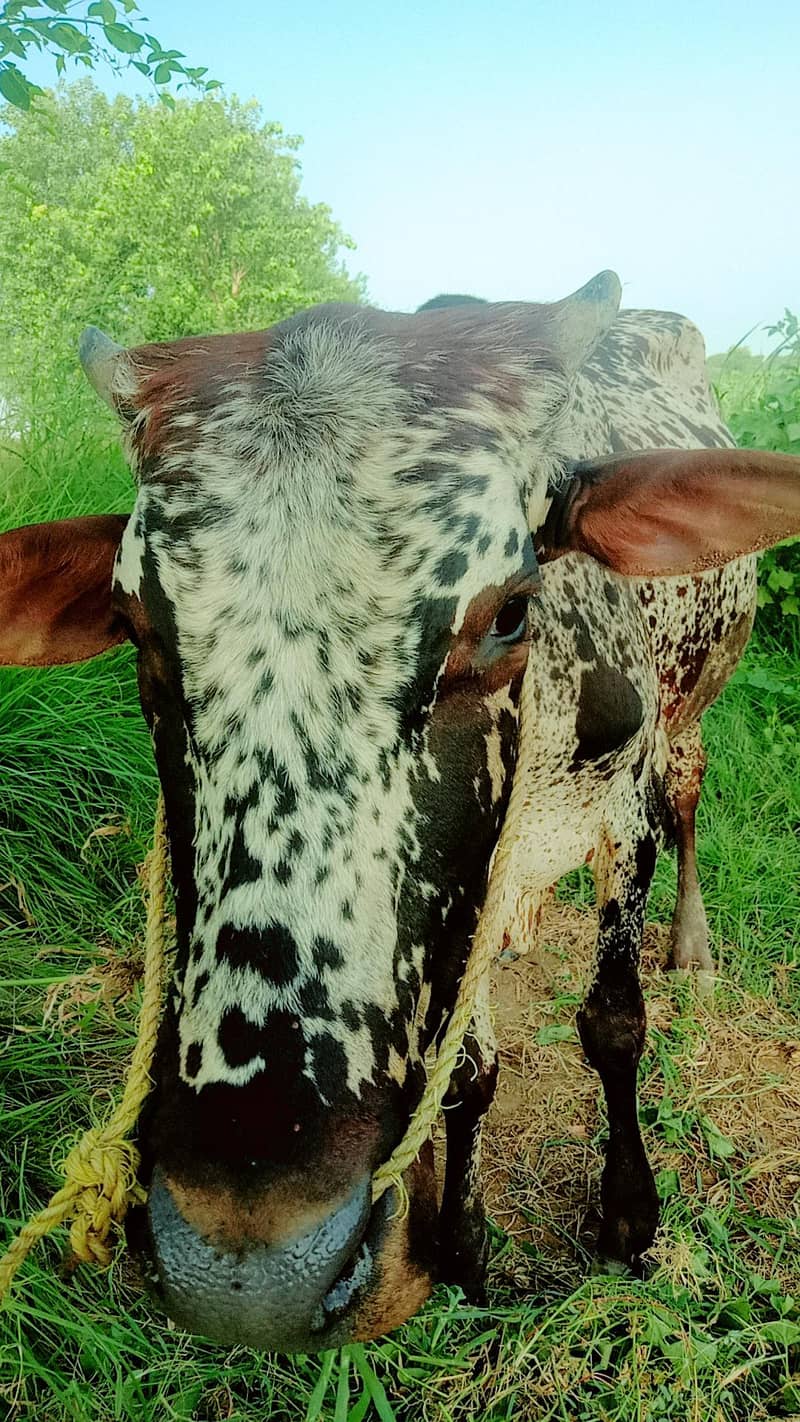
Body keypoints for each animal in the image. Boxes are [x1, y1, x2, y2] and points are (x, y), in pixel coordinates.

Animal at [1, 272, 799, 1353]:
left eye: (509, 609)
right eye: (135, 627)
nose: (249, 1263)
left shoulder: (620, 818)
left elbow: (613, 1023)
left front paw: (630, 1218)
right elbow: (465, 1073)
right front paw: (463, 1241)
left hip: (686, 723)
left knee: (691, 789)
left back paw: (693, 945)